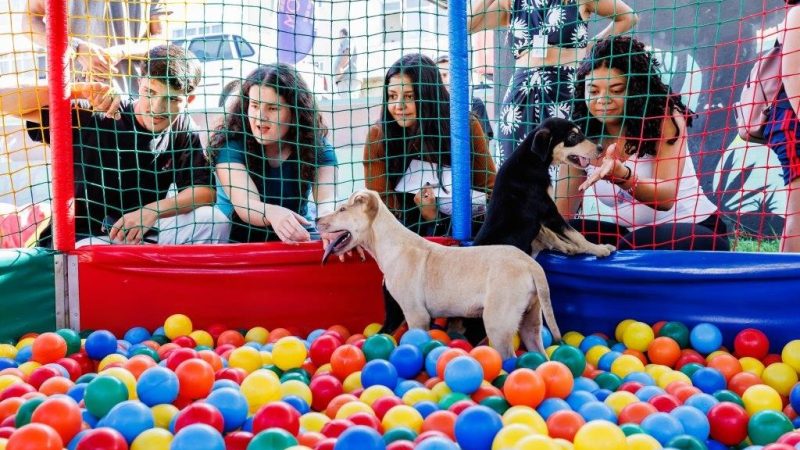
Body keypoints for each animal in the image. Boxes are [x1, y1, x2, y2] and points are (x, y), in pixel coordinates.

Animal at [317, 190, 561, 359]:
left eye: (342, 210)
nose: (317, 221)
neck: (391, 243)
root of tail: (530, 264)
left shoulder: (416, 315)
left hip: (498, 323)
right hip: (530, 321)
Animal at [473, 117, 616, 257]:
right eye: (573, 136)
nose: (600, 148)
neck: (533, 161)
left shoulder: (543, 217)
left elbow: (552, 235)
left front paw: (576, 248)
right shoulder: (549, 211)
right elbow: (575, 235)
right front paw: (598, 249)